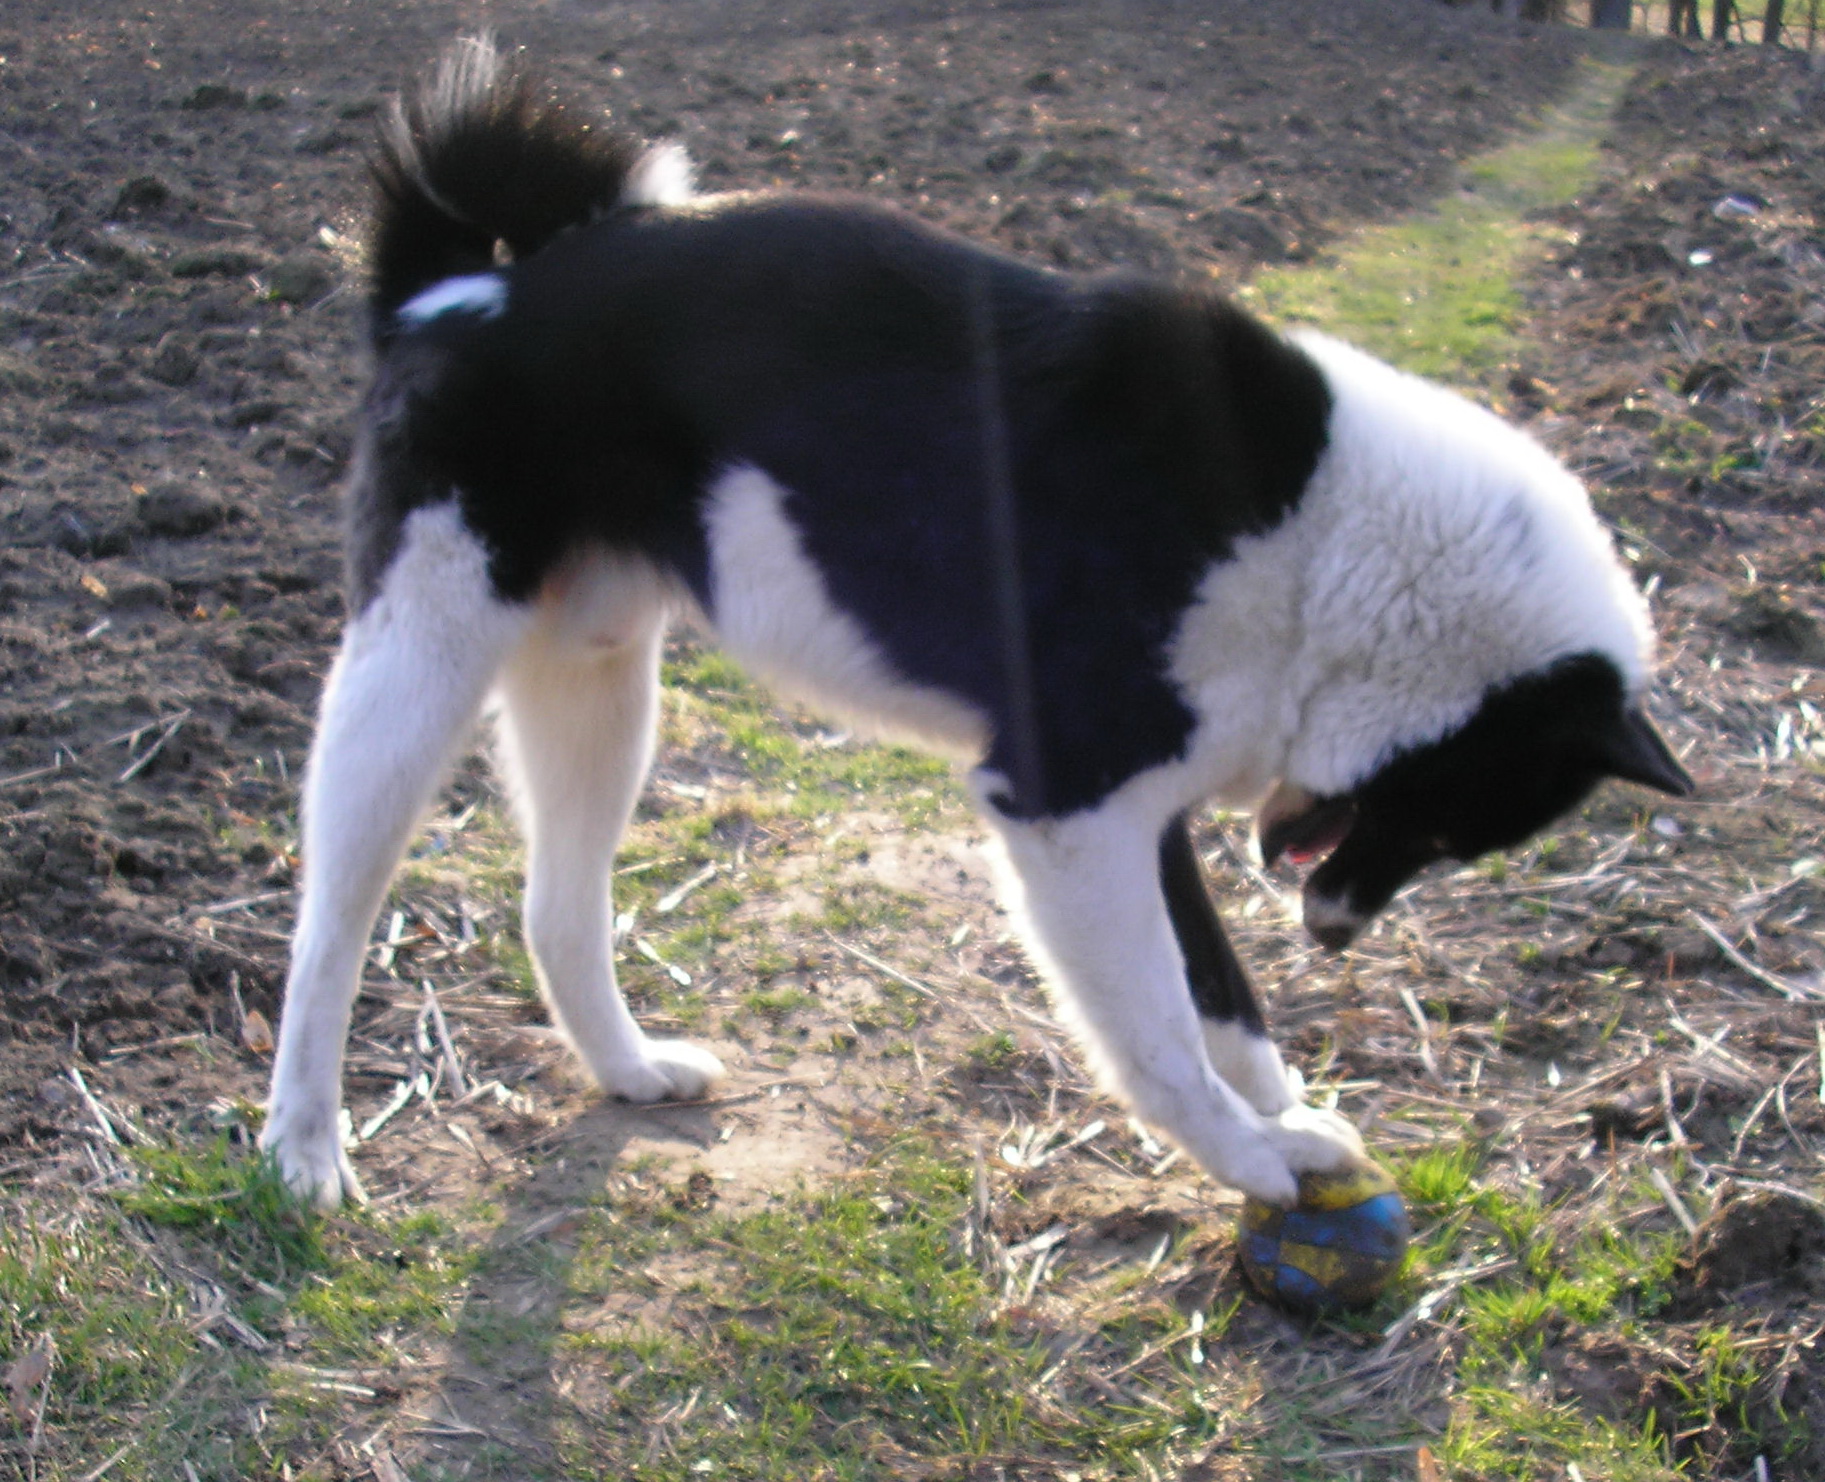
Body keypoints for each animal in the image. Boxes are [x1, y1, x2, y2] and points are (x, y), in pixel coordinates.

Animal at [261, 38, 1691, 1209]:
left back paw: (626, 1068)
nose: (1333, 937)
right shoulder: (1065, 813)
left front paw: (1284, 1116)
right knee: (329, 927)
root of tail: (454, 292)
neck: (1337, 549)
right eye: (1451, 824)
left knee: (558, 908)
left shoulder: (1144, 815)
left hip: (599, 685)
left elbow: (1223, 997)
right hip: (414, 673)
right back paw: (305, 1151)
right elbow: (1162, 1033)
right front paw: (1249, 1160)